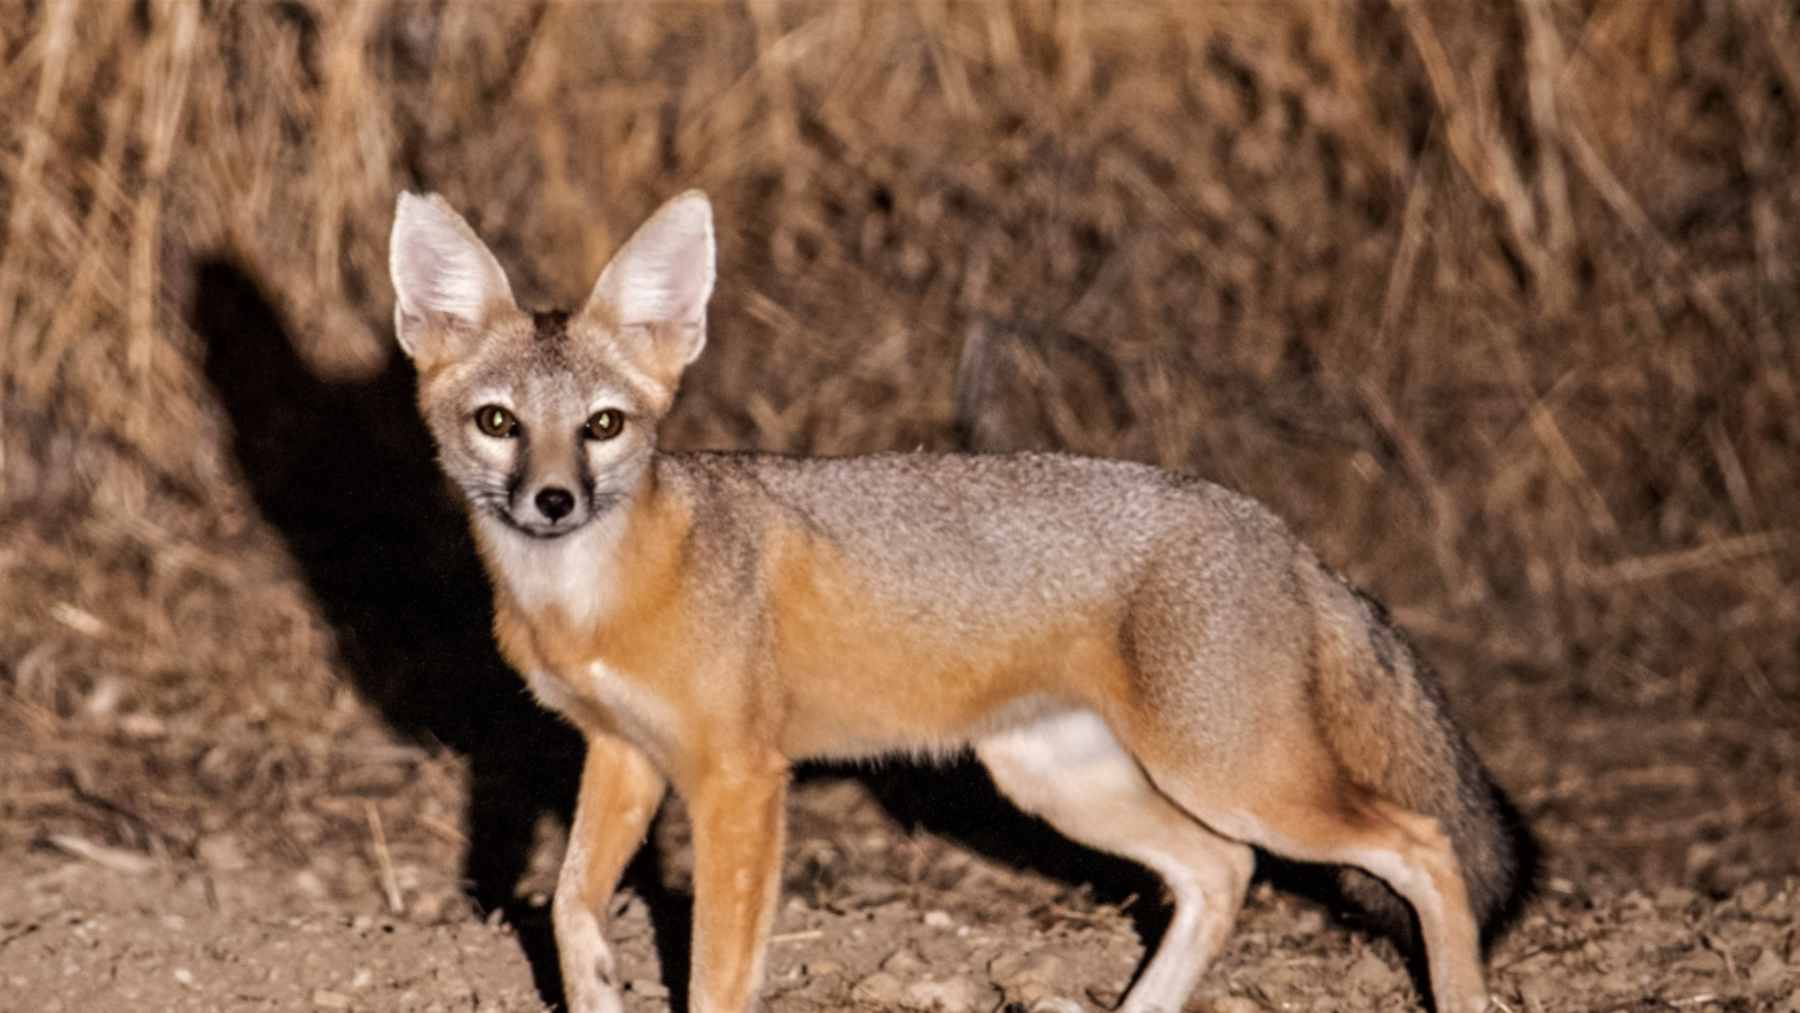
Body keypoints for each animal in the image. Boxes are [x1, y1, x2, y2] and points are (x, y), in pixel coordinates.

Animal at [387, 189, 1526, 1013]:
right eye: (498, 422)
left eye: (604, 426)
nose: (552, 499)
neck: (589, 599)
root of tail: (1279, 530)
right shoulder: (622, 755)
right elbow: (570, 907)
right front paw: (598, 984)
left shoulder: (737, 778)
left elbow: (715, 974)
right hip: (1063, 783)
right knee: (1222, 869)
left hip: (1237, 775)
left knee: (1420, 843)